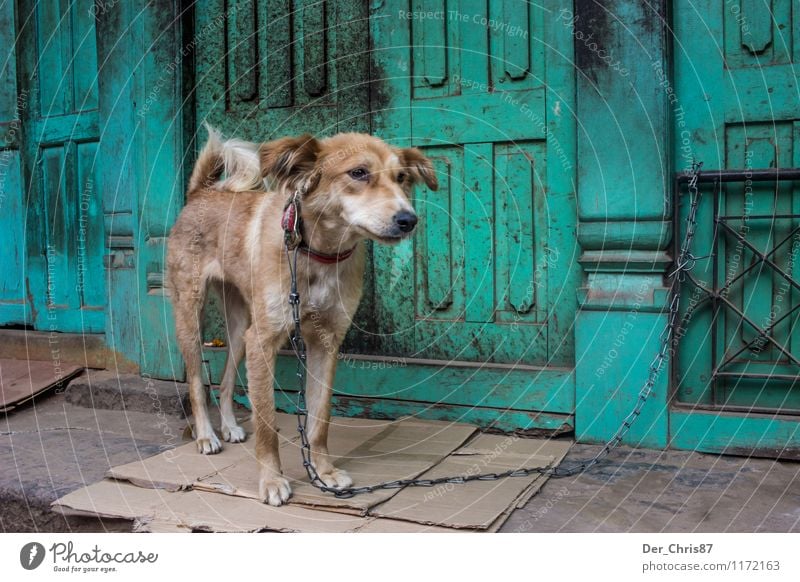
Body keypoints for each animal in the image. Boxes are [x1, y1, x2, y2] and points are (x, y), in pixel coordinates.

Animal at [164, 128, 438, 506]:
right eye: (358, 173)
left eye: (402, 178)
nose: (408, 220)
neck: (317, 252)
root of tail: (201, 193)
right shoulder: (264, 342)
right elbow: (266, 422)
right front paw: (271, 481)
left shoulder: (325, 342)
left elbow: (319, 419)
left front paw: (324, 473)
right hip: (191, 315)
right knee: (195, 380)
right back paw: (207, 435)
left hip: (240, 328)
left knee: (226, 379)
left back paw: (230, 426)